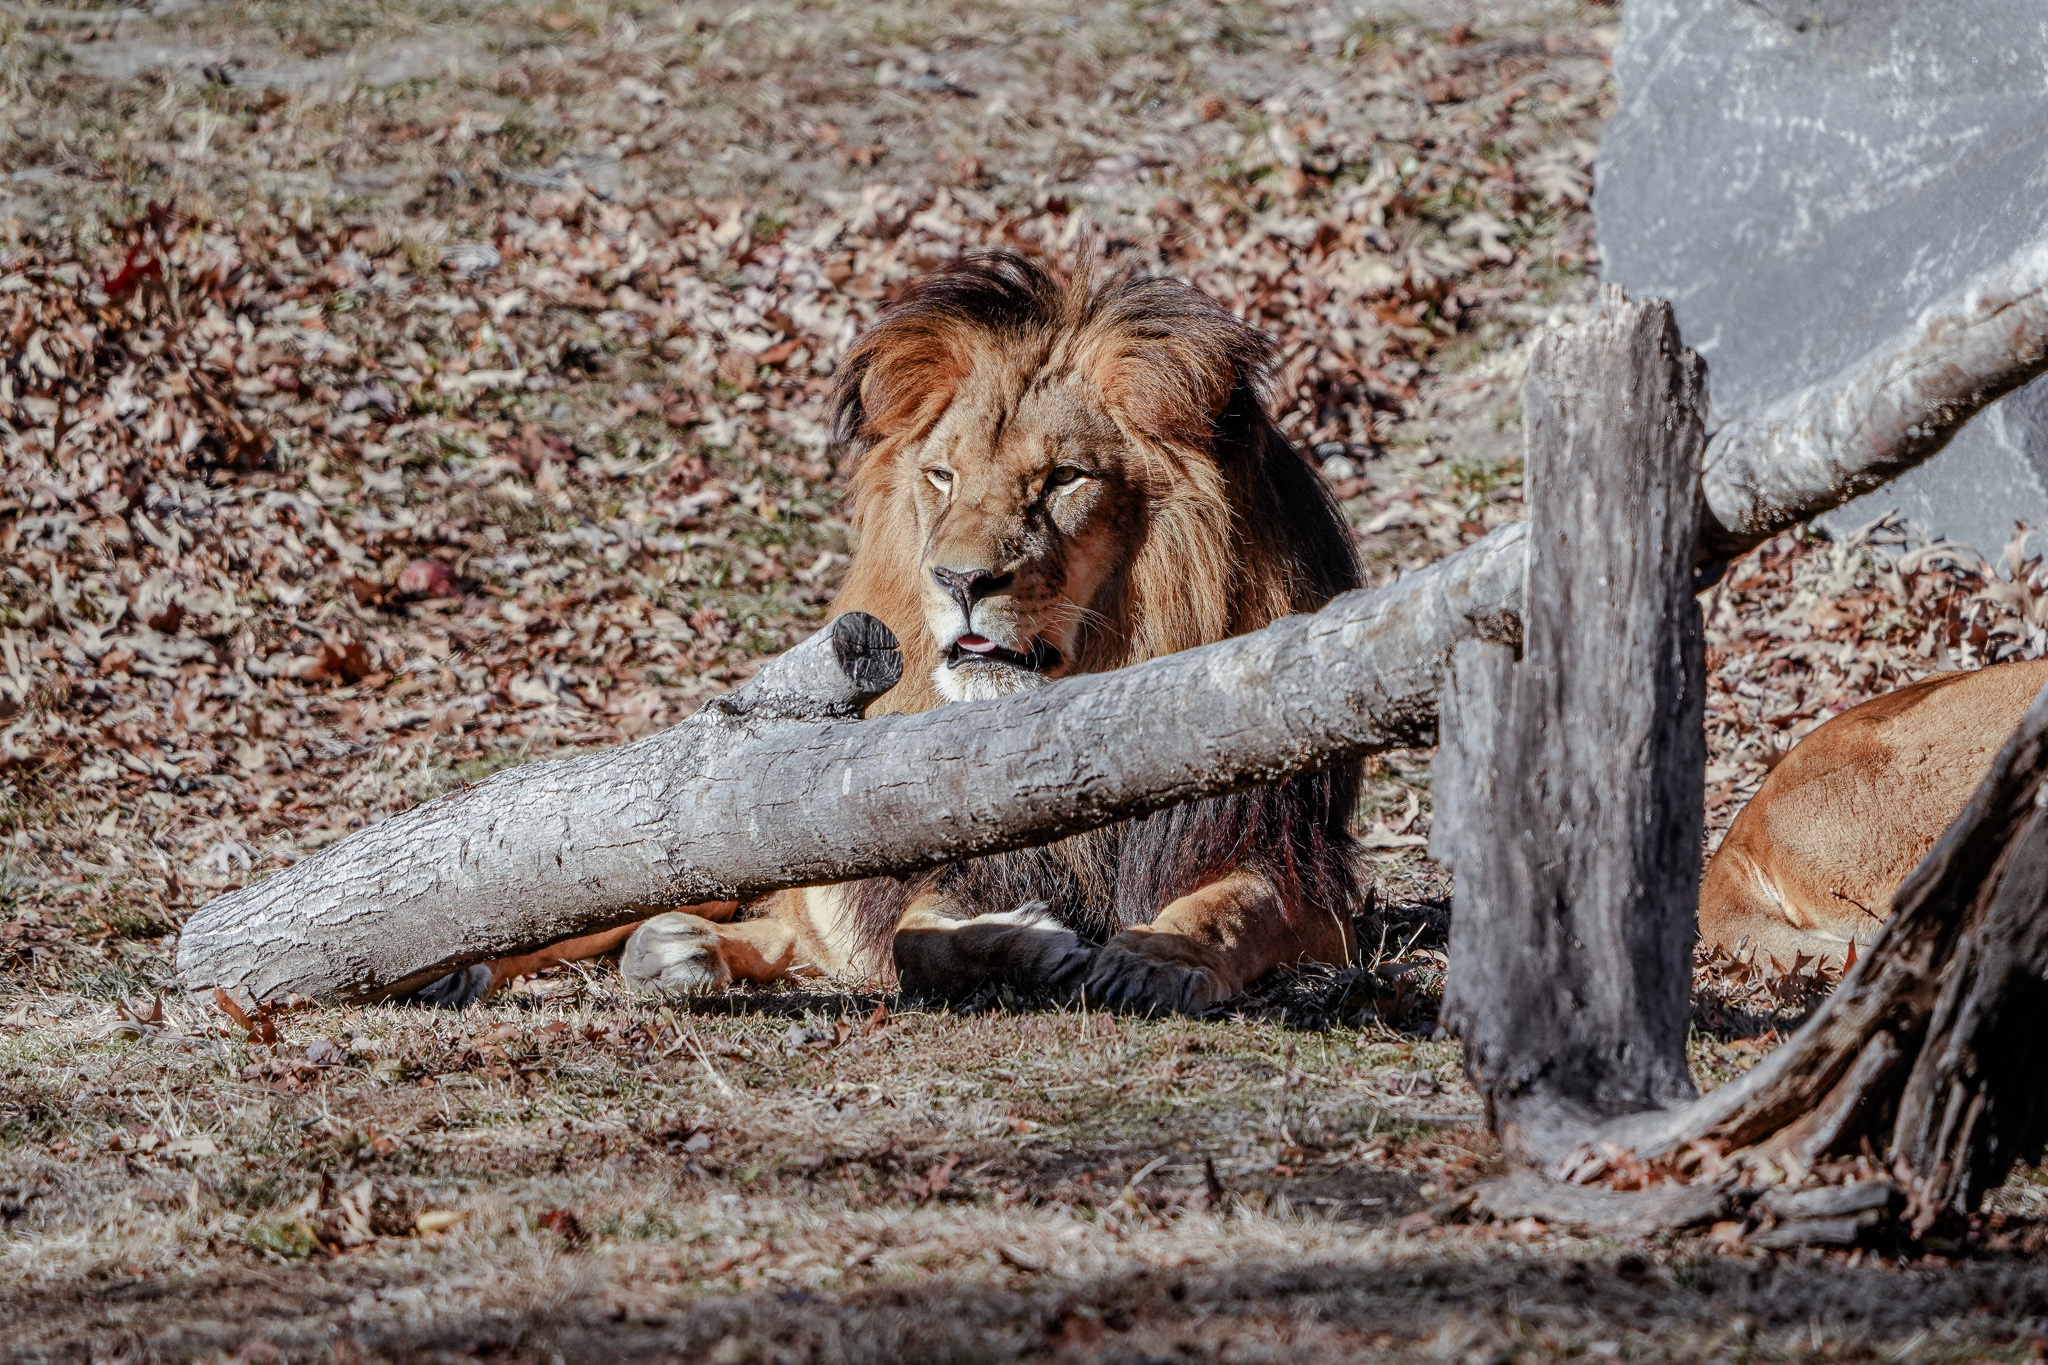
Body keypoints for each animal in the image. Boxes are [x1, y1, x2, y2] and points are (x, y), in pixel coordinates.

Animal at [430, 253, 1359, 1015]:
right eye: (942, 476)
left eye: (1064, 478)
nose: (961, 581)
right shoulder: (949, 863)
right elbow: (920, 942)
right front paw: (1035, 944)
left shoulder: (1302, 868)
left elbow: (1227, 908)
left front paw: (1155, 959)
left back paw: (677, 949)